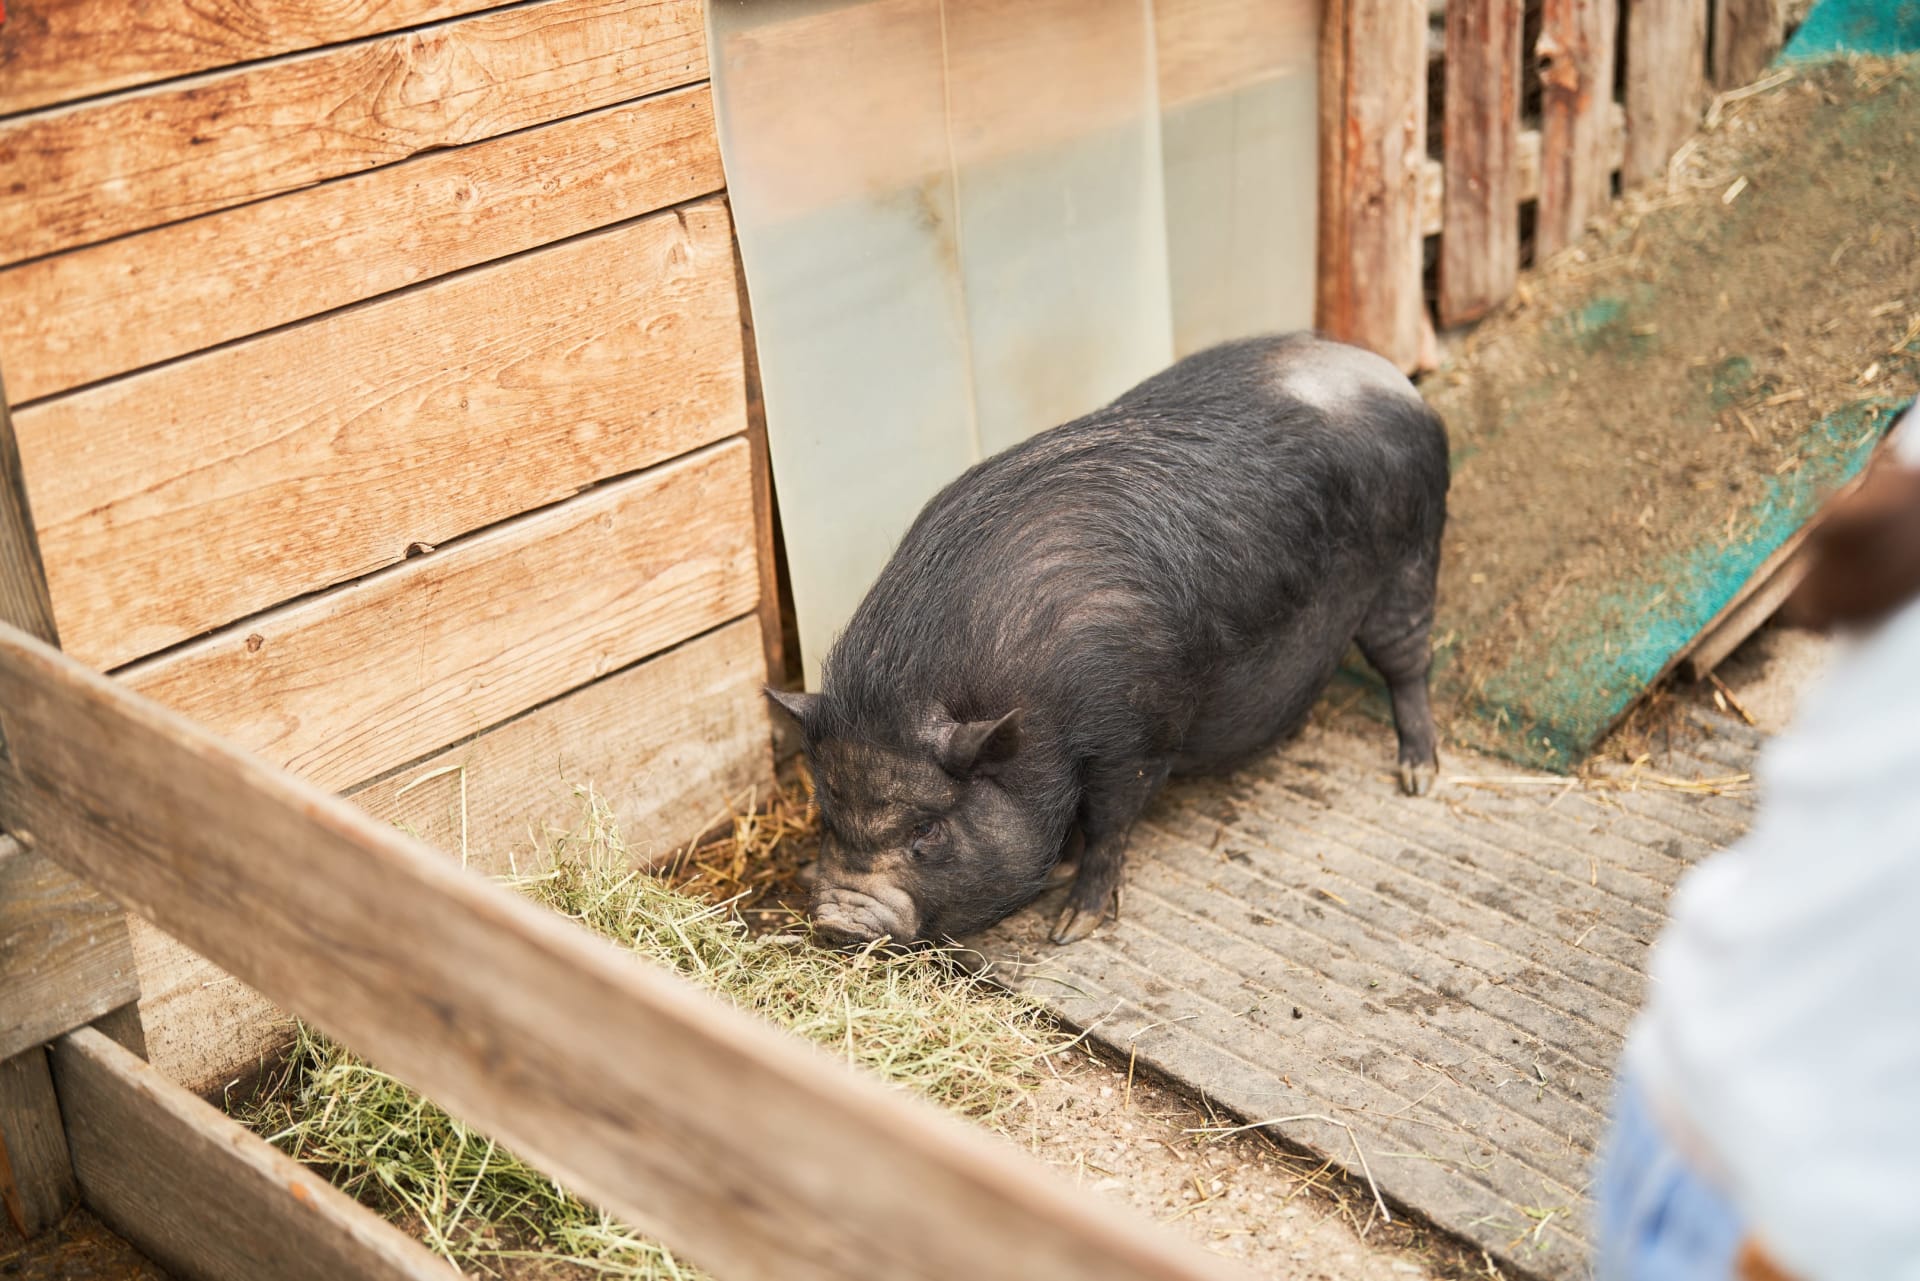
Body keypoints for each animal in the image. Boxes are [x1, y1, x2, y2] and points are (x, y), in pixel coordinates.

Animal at [768, 333, 1449, 947]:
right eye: (826, 814)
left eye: (927, 833)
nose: (839, 922)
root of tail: (1389, 375)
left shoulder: (1137, 733)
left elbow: (1109, 824)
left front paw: (1072, 928)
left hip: (1411, 561)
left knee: (1408, 665)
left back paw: (1418, 777)